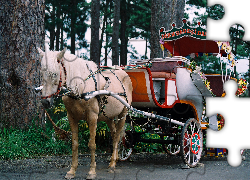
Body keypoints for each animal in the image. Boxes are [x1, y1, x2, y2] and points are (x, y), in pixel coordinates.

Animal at [36, 47, 133, 179]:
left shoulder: (92, 117)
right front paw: (72, 171)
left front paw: (92, 172)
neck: (80, 87)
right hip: (108, 116)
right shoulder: (71, 117)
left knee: (118, 136)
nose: (45, 102)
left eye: (55, 73)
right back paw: (115, 159)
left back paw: (113, 164)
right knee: (114, 135)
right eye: (41, 73)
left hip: (123, 113)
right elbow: (75, 144)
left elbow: (92, 144)